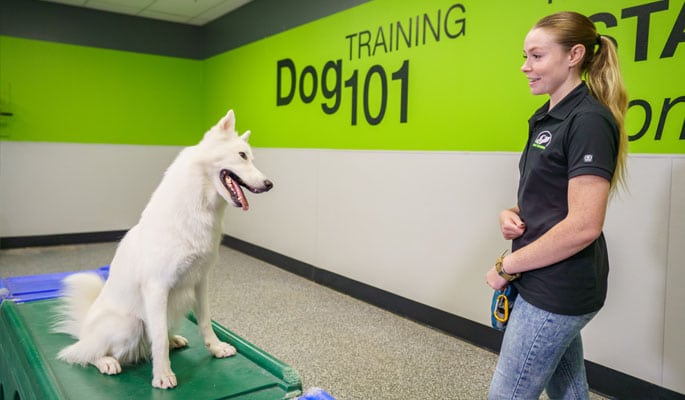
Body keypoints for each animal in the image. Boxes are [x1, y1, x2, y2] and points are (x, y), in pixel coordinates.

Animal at [54, 108, 272, 388]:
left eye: (251, 157)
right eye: (242, 155)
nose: (269, 184)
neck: (199, 208)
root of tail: (84, 331)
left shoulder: (200, 282)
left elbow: (205, 322)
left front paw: (216, 348)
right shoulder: (157, 288)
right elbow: (157, 340)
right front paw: (162, 375)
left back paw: (174, 340)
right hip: (130, 325)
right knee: (84, 353)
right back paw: (106, 361)